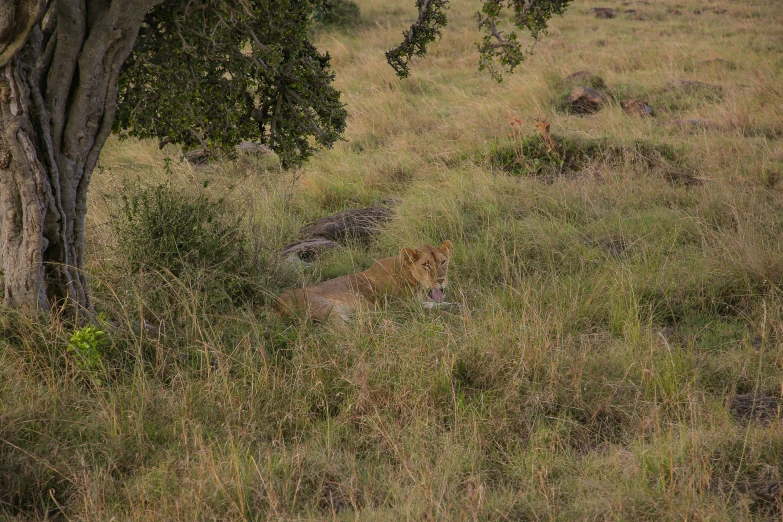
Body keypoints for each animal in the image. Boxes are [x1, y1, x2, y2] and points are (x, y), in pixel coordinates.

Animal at [278, 240, 454, 324]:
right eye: (426, 265)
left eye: (443, 262)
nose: (440, 280)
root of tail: (275, 303)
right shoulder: (404, 307)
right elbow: (437, 312)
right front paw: (458, 318)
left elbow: (438, 304)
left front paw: (455, 305)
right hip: (327, 309)